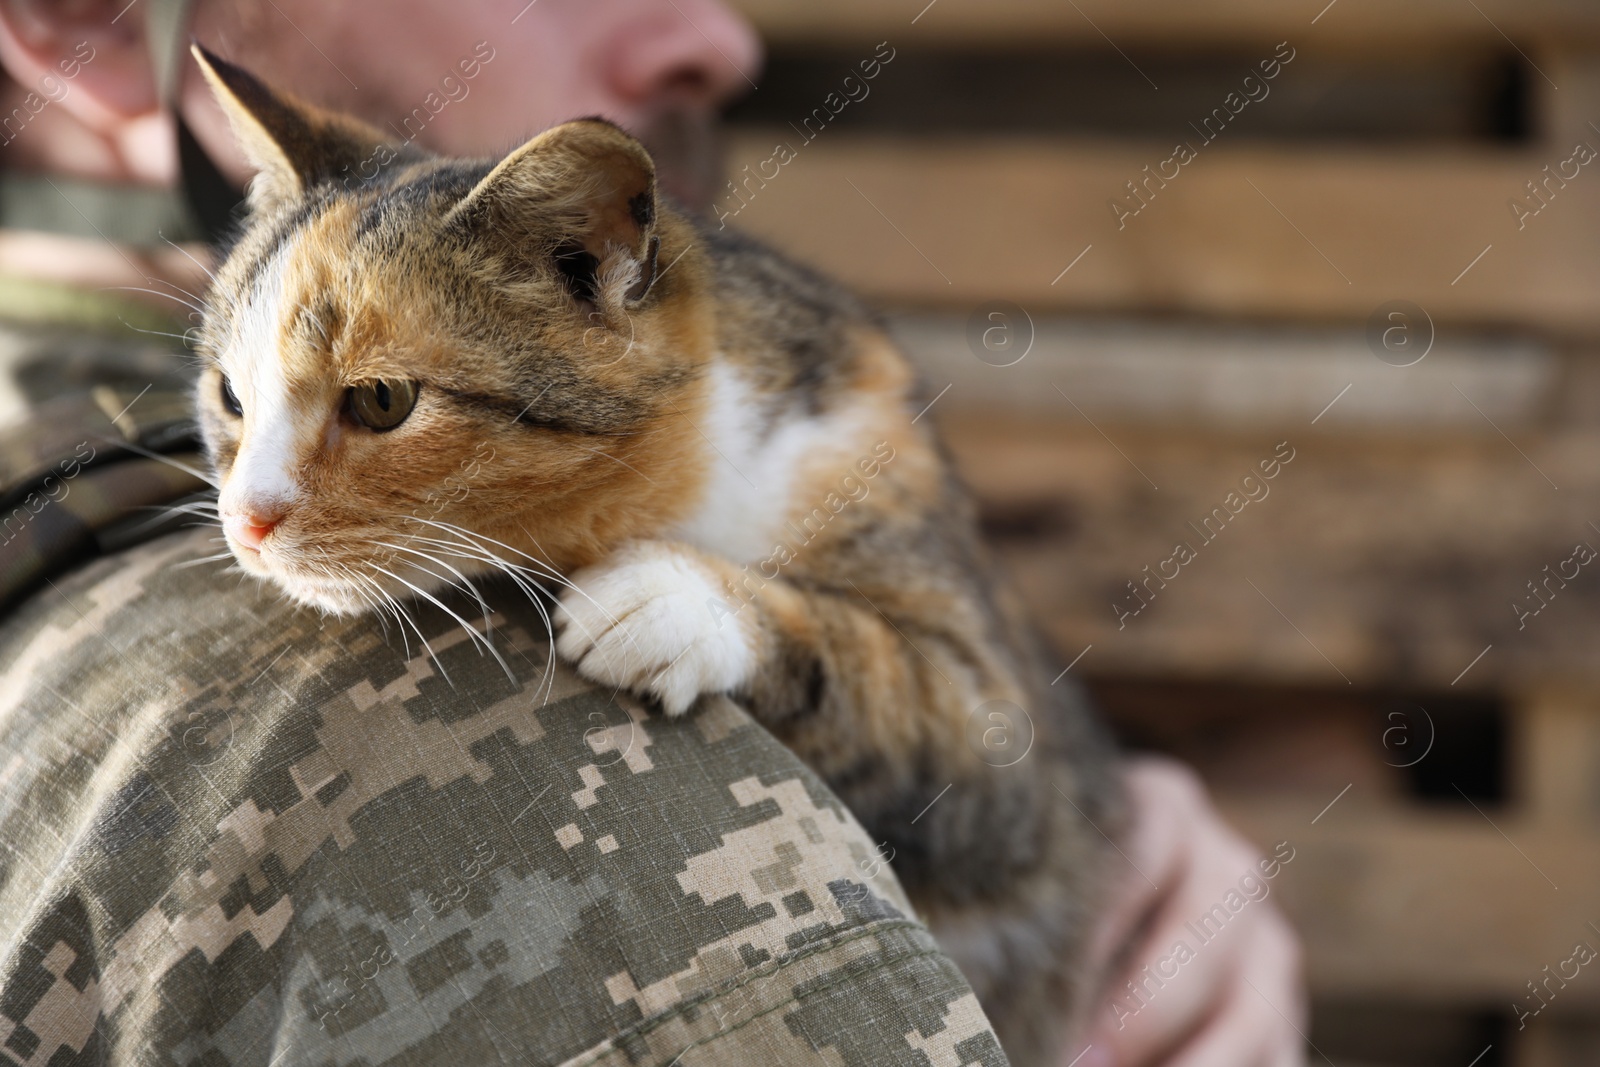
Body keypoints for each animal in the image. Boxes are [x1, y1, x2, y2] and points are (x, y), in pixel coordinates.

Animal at [190, 43, 1126, 1067]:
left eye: (383, 401)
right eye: (230, 395)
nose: (245, 520)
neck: (697, 479)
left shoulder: (1006, 758)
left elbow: (895, 683)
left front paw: (674, 601)